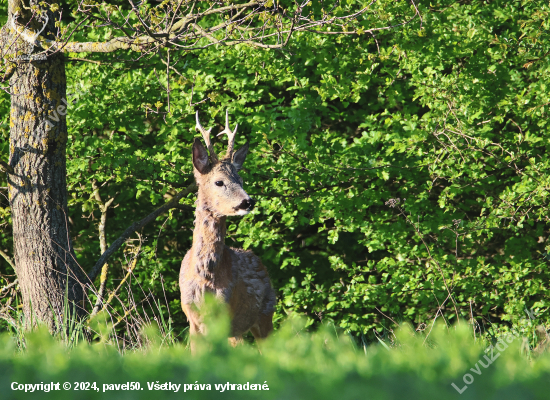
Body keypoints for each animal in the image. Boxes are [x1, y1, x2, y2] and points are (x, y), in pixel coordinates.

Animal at [180, 108, 278, 346]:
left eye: (241, 180)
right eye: (219, 182)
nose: (247, 202)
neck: (205, 278)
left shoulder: (225, 315)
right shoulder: (192, 320)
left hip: (265, 313)